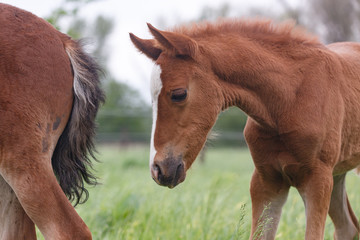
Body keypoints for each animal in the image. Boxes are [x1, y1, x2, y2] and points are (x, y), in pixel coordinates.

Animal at [131, 19, 360, 239]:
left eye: (179, 94)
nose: (158, 170)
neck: (289, 100)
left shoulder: (318, 181)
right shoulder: (266, 180)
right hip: (337, 175)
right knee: (348, 228)